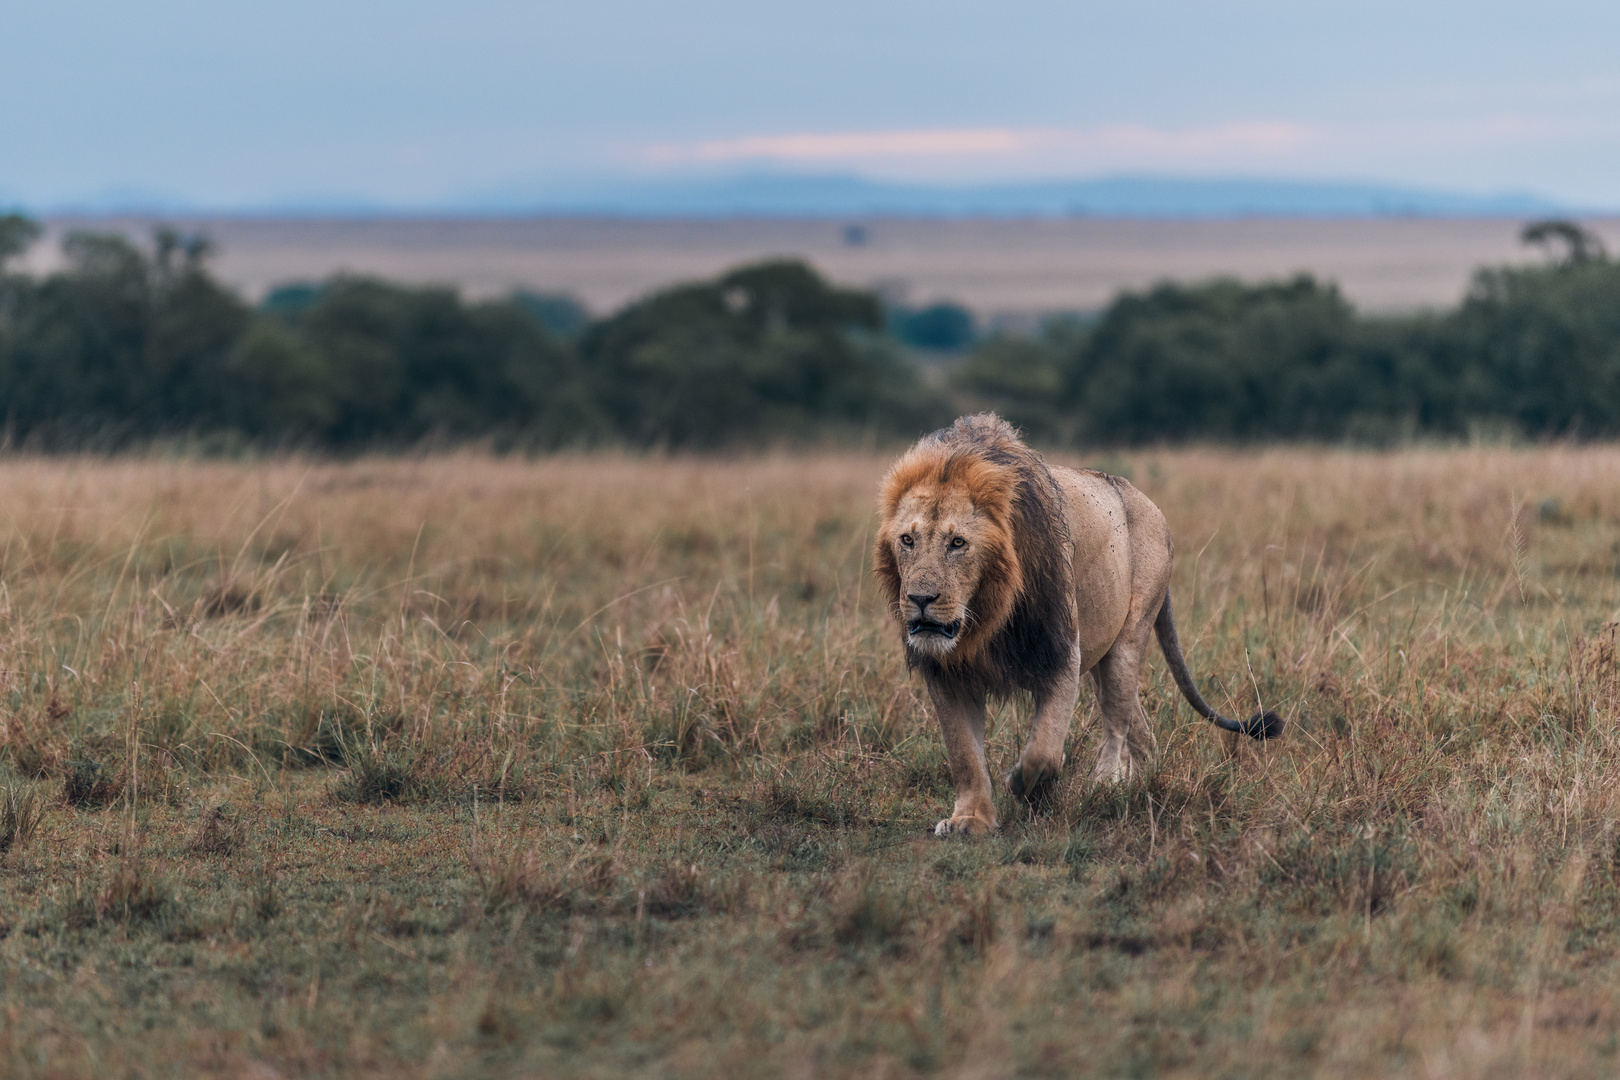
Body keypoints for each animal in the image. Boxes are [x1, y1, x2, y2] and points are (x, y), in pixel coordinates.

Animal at [874, 414, 1276, 835]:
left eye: (957, 543)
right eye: (907, 540)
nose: (920, 599)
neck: (985, 617)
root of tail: (1154, 508)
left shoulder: (1061, 652)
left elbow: (1045, 747)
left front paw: (1027, 786)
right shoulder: (947, 673)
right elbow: (964, 754)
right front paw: (970, 820)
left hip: (1128, 640)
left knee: (1116, 722)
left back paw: (1104, 784)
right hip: (1104, 657)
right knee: (1140, 731)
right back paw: (1139, 784)